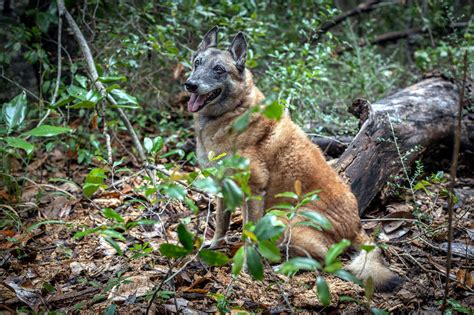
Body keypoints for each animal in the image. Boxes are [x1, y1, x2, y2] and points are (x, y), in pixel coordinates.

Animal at [185, 25, 400, 292]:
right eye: (197, 63)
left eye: (219, 70)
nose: (190, 85)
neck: (233, 113)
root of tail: (356, 226)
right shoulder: (224, 186)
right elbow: (221, 221)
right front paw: (215, 245)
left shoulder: (253, 191)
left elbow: (248, 233)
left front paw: (245, 265)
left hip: (279, 217)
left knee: (325, 260)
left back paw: (285, 267)